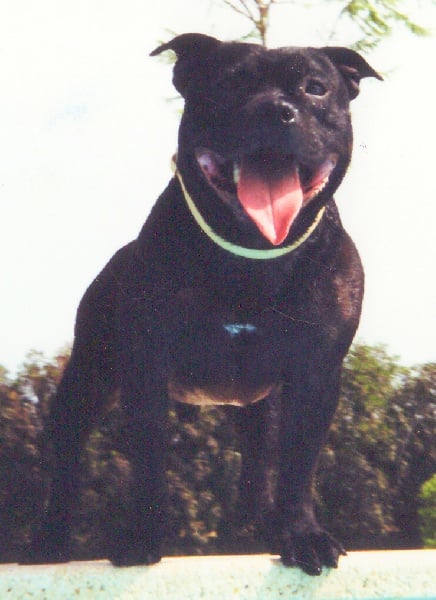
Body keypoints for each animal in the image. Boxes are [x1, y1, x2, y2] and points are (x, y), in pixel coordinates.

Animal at [30, 33, 381, 575]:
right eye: (229, 83)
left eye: (316, 88)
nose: (277, 110)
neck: (250, 254)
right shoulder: (147, 369)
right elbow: (150, 462)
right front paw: (143, 538)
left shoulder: (315, 375)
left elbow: (298, 467)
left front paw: (303, 535)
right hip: (86, 381)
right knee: (66, 462)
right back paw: (49, 541)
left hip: (258, 406)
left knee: (258, 465)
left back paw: (258, 526)